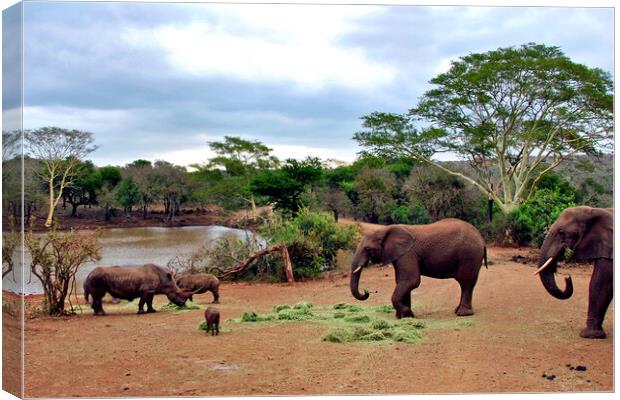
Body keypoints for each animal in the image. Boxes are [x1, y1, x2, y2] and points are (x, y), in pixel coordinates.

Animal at [352, 219, 486, 318]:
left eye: (368, 249)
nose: (366, 291)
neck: (385, 229)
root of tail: (481, 237)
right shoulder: (401, 255)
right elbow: (402, 281)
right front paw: (405, 317)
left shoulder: (408, 254)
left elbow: (411, 281)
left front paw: (406, 313)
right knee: (465, 284)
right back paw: (457, 310)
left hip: (469, 255)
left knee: (466, 282)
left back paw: (463, 314)